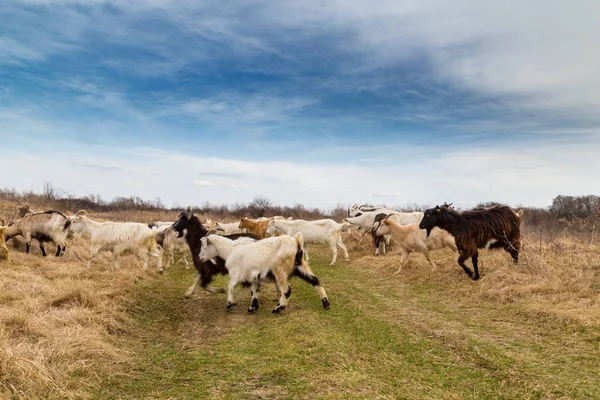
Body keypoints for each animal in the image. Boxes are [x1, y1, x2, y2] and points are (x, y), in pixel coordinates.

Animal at [198, 233, 330, 314]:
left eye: (205, 246)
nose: (200, 258)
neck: (230, 250)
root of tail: (296, 243)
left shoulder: (237, 274)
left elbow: (230, 287)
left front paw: (230, 304)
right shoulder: (255, 277)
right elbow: (254, 291)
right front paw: (252, 307)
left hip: (279, 270)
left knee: (287, 290)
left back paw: (278, 308)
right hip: (300, 267)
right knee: (315, 281)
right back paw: (326, 304)